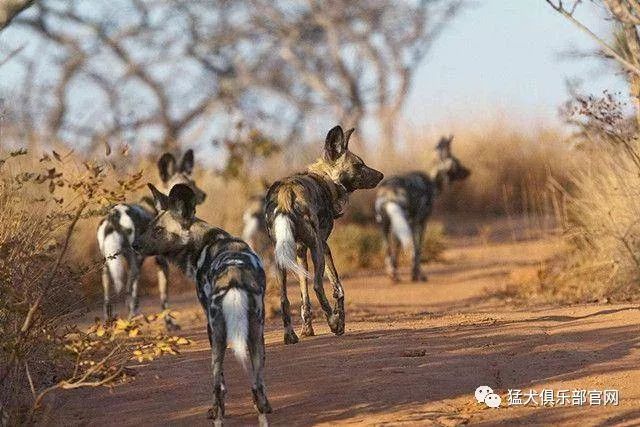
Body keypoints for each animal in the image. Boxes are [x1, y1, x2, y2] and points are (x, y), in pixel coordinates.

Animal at [96, 150, 206, 332]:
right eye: (189, 184)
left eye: (194, 182)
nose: (204, 195)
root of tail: (114, 215)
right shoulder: (162, 262)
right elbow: (164, 298)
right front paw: (170, 324)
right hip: (134, 264)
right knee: (128, 293)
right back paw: (130, 324)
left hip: (107, 266)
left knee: (107, 299)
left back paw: (107, 327)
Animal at [134, 184, 272, 427]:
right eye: (149, 227)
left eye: (159, 230)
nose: (134, 245)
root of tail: (234, 277)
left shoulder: (210, 326)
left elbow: (221, 386)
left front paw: (215, 410)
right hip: (256, 335)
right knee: (258, 388)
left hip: (217, 337)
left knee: (218, 386)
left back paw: (217, 415)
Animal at [376, 135, 470, 282]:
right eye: (457, 163)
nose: (468, 172)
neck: (433, 182)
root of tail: (388, 192)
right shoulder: (420, 222)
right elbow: (417, 250)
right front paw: (417, 274)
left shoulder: (404, 224)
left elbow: (398, 248)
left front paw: (400, 271)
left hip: (384, 224)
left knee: (387, 249)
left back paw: (393, 275)